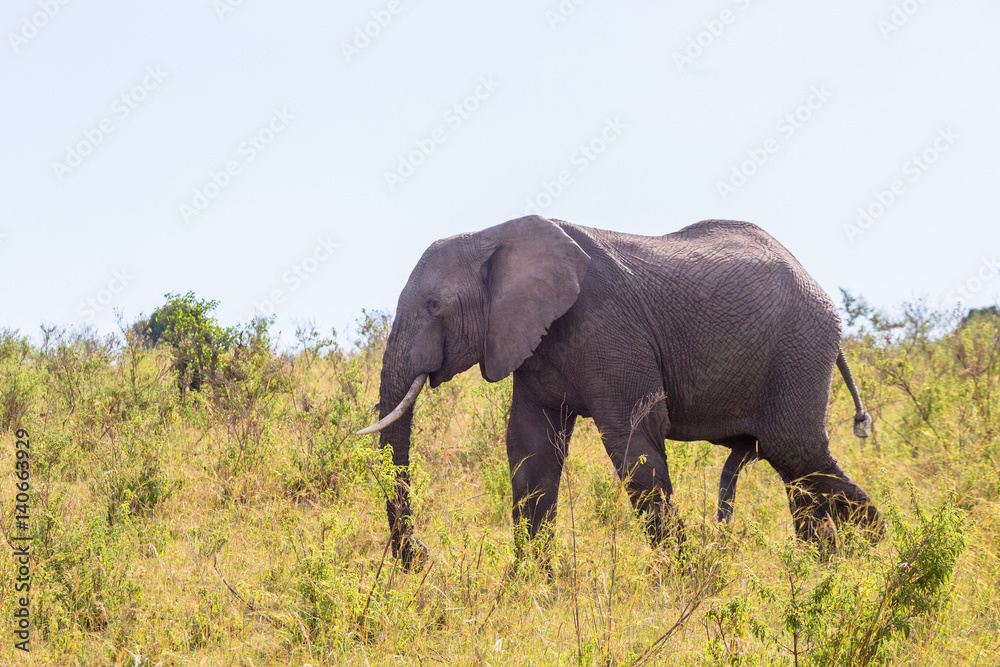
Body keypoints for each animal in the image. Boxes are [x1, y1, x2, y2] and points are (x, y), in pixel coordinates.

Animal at [358, 215, 876, 568]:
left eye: (433, 305)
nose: (421, 555)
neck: (494, 234)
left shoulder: (609, 329)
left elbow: (632, 442)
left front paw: (679, 578)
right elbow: (531, 448)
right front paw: (531, 585)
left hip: (799, 349)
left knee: (797, 453)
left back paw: (872, 551)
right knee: (794, 469)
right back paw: (825, 561)